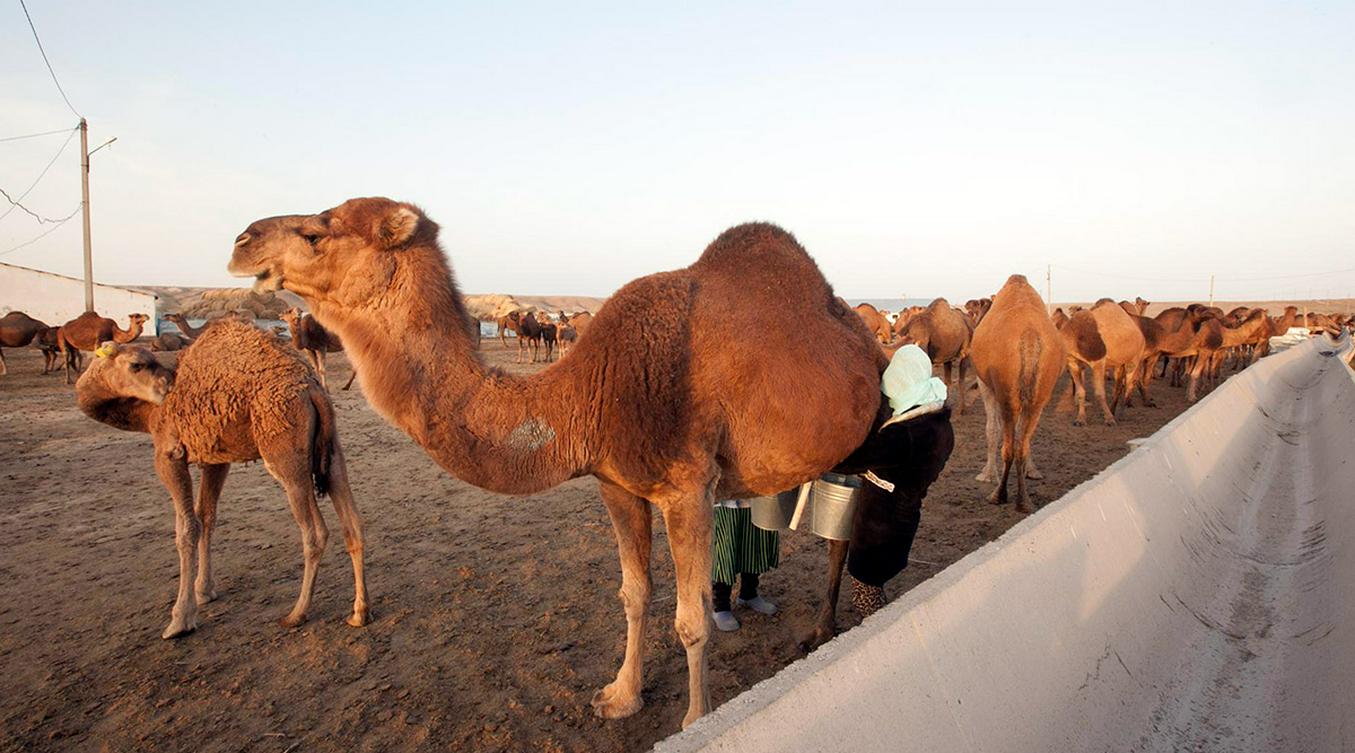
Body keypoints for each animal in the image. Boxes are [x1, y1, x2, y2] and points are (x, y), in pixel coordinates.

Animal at [72, 323, 371, 641]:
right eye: (137, 365)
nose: (167, 389)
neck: (144, 414)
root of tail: (313, 389)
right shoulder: (216, 458)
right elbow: (206, 517)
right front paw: (204, 591)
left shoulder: (168, 453)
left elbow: (186, 527)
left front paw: (180, 619)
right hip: (331, 449)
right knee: (352, 522)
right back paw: (359, 613)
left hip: (285, 452)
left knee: (315, 532)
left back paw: (296, 613)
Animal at [230, 197, 888, 725]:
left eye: (318, 231)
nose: (241, 241)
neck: (588, 393)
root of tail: (863, 333)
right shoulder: (616, 483)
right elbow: (634, 593)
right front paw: (621, 696)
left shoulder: (687, 488)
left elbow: (692, 617)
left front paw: (695, 720)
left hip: (872, 424)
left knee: (849, 528)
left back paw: (827, 625)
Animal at [975, 274, 1067, 511]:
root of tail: (1029, 336)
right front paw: (1031, 471)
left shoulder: (986, 385)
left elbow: (991, 429)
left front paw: (988, 475)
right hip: (1040, 392)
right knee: (1022, 442)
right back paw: (1024, 501)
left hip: (1007, 393)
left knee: (1009, 445)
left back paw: (999, 495)